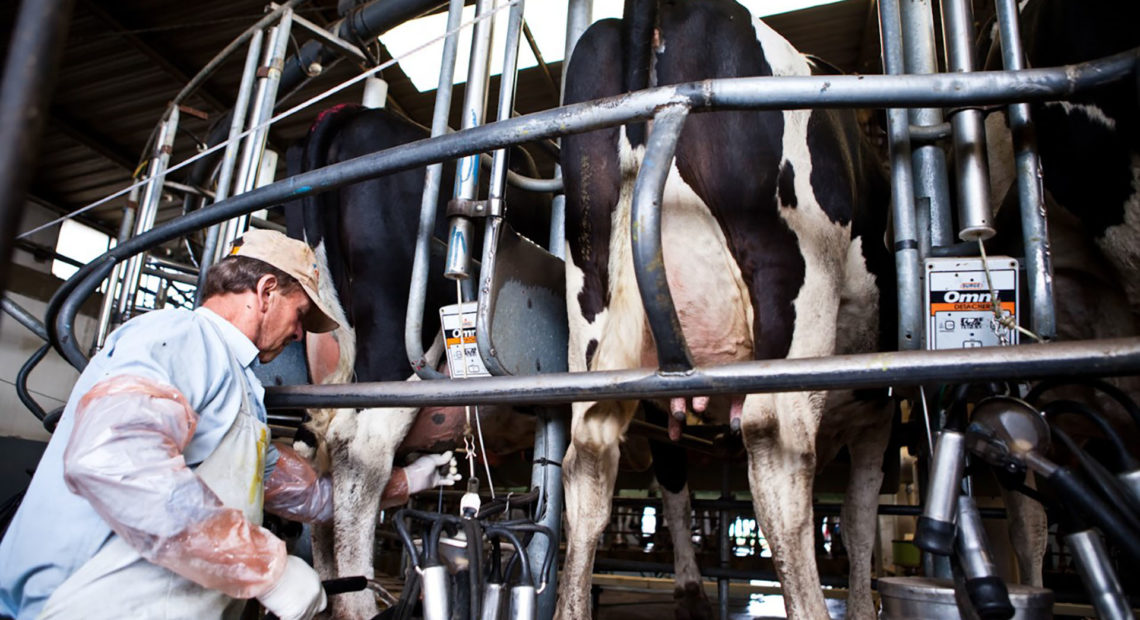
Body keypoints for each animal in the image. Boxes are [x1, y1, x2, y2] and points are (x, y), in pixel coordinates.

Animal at [558, 1, 894, 618]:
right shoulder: (881, 410)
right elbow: (861, 519)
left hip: (590, 299)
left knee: (590, 455)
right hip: (793, 281)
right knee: (778, 450)